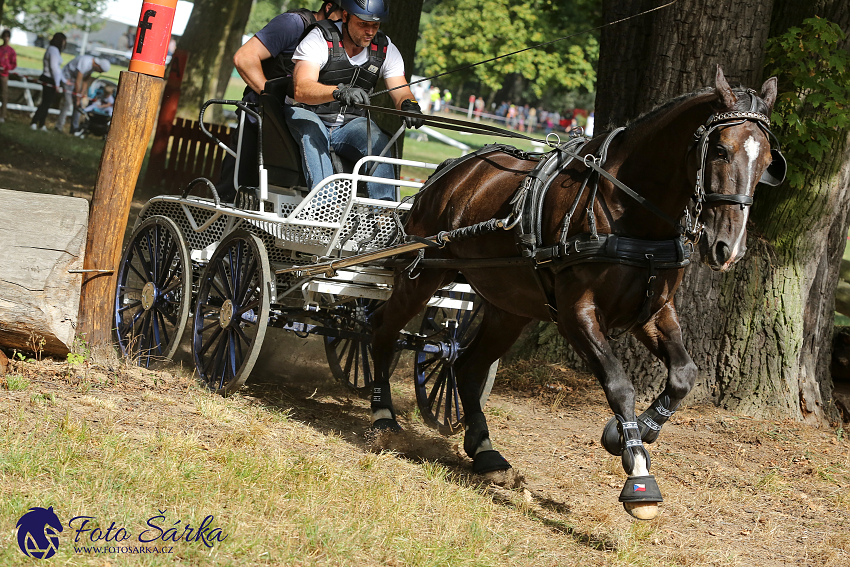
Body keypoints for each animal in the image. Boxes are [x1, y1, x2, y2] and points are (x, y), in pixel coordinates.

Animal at [368, 66, 780, 520]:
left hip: (509, 305)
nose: (728, 248)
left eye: (767, 161)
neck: (629, 212)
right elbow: (619, 385)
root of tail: (450, 171)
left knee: (469, 366)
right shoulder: (576, 313)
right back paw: (384, 417)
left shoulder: (654, 310)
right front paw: (639, 475)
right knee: (382, 331)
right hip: (420, 274)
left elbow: (684, 376)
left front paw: (632, 434)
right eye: (720, 150)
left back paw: (486, 452)